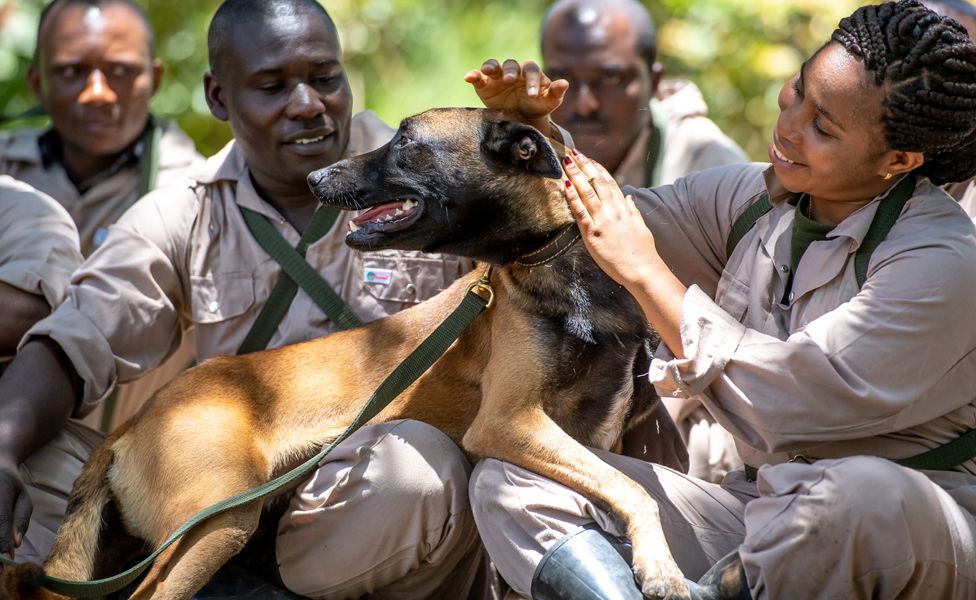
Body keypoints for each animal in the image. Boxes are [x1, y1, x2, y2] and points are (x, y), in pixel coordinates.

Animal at [1, 109, 688, 600]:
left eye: (405, 141)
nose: (314, 179)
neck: (559, 259)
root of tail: (132, 426)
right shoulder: (508, 421)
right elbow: (636, 489)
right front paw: (663, 566)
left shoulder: (592, 433)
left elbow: (619, 482)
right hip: (214, 523)